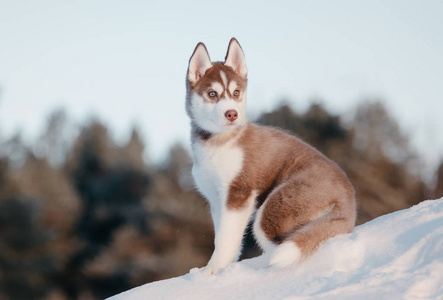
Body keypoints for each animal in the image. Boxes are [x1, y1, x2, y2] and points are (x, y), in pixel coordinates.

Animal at [186, 38, 356, 276]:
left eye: (236, 93)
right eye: (212, 94)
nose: (232, 114)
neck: (217, 142)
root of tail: (349, 199)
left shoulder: (239, 192)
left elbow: (226, 239)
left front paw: (212, 272)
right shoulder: (216, 198)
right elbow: (222, 237)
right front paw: (220, 269)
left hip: (273, 211)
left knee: (281, 245)